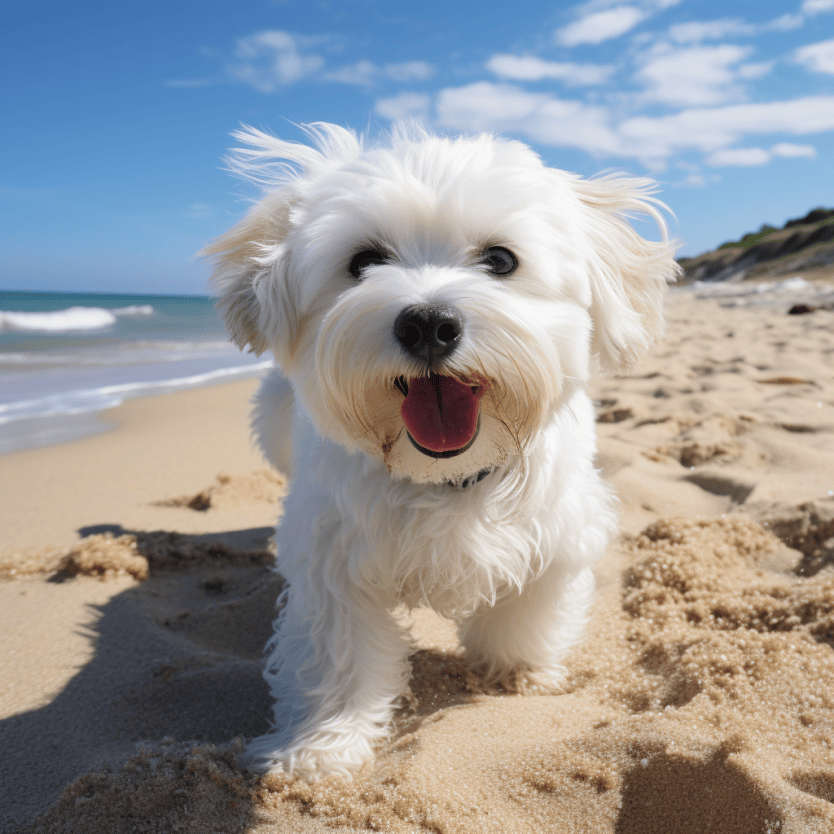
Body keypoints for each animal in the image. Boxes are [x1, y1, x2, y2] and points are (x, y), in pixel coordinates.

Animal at [205, 123, 680, 780]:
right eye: (363, 262)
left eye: (500, 260)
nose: (428, 323)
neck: (446, 475)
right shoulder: (333, 560)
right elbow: (337, 655)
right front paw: (320, 747)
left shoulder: (558, 531)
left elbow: (527, 610)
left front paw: (519, 670)